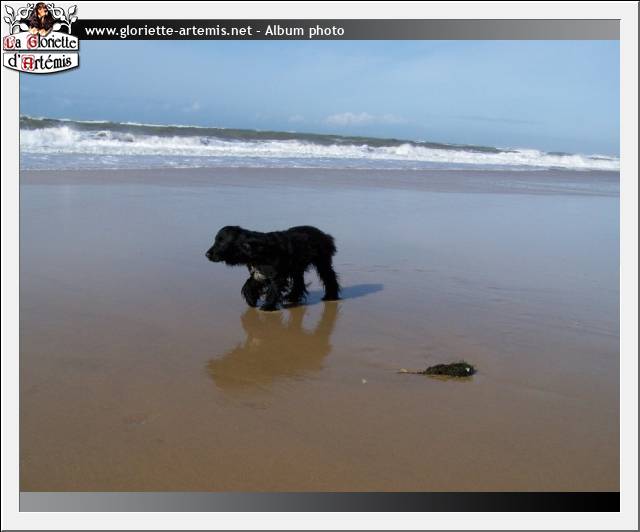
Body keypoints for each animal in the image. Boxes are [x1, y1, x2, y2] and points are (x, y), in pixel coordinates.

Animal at [205, 225, 341, 311]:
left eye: (221, 242)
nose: (207, 254)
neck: (255, 249)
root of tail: (325, 235)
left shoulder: (276, 274)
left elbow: (273, 289)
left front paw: (267, 307)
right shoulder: (258, 273)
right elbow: (249, 284)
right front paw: (251, 299)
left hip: (322, 261)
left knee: (329, 276)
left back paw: (330, 296)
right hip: (297, 267)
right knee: (298, 282)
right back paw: (292, 297)